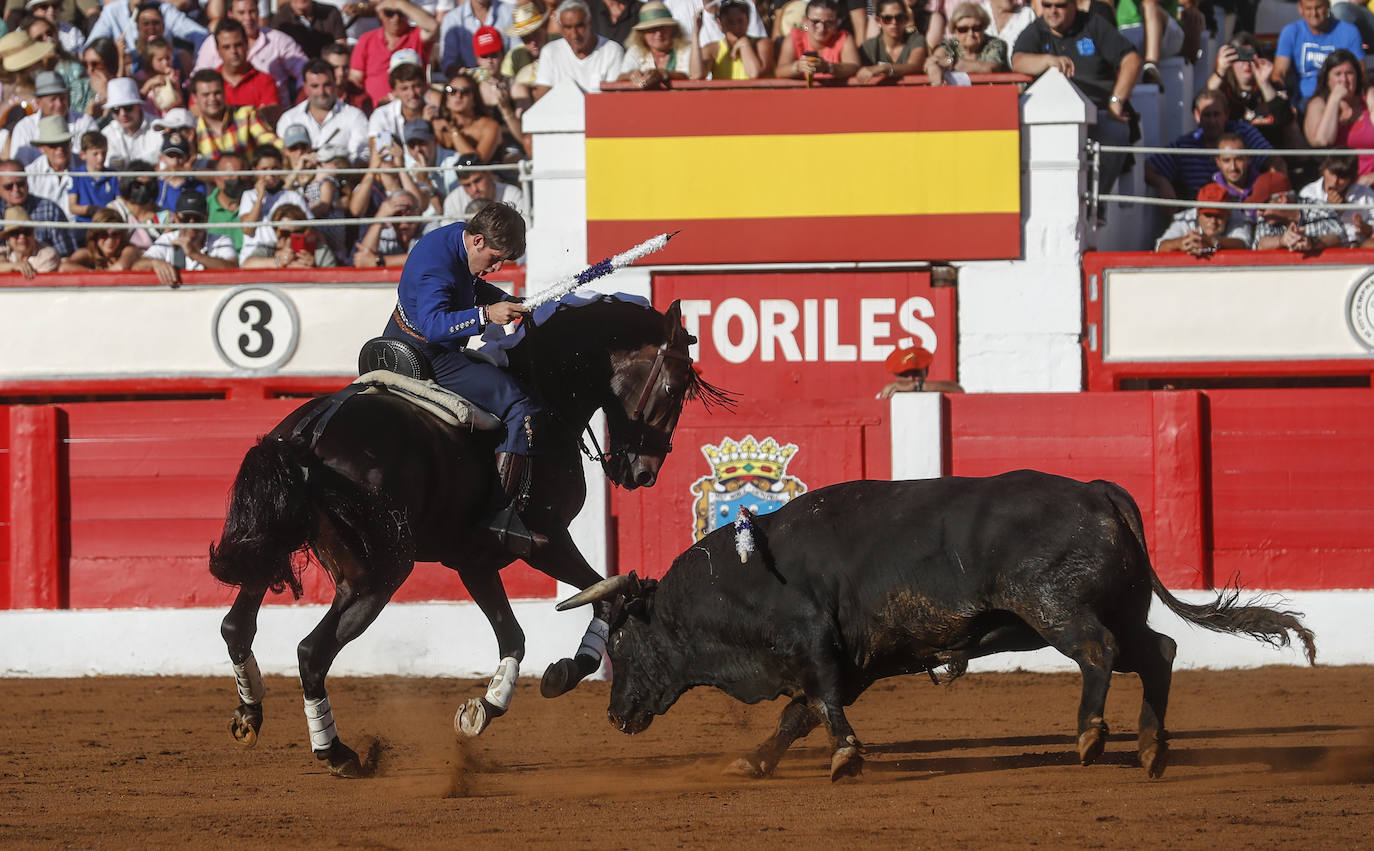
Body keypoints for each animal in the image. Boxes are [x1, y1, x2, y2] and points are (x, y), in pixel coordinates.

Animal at [206, 296, 730, 775]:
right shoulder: (545, 540)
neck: (547, 389)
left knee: (236, 627)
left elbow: (517, 634)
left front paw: (485, 706)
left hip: (269, 548)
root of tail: (307, 437)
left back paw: (249, 715)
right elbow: (605, 594)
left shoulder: (475, 560)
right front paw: (562, 673)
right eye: (672, 387)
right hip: (375, 577)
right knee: (311, 652)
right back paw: (336, 752)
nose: (644, 473)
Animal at [560, 470, 1319, 780]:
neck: (742, 582)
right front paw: (753, 759)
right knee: (1157, 650)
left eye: (620, 640)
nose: (614, 714)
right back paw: (1152, 748)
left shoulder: (817, 649)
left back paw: (1091, 735)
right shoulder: (849, 664)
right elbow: (798, 715)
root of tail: (1097, 491)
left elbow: (819, 707)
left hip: (1055, 607)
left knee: (1099, 652)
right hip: (1119, 607)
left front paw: (845, 758)